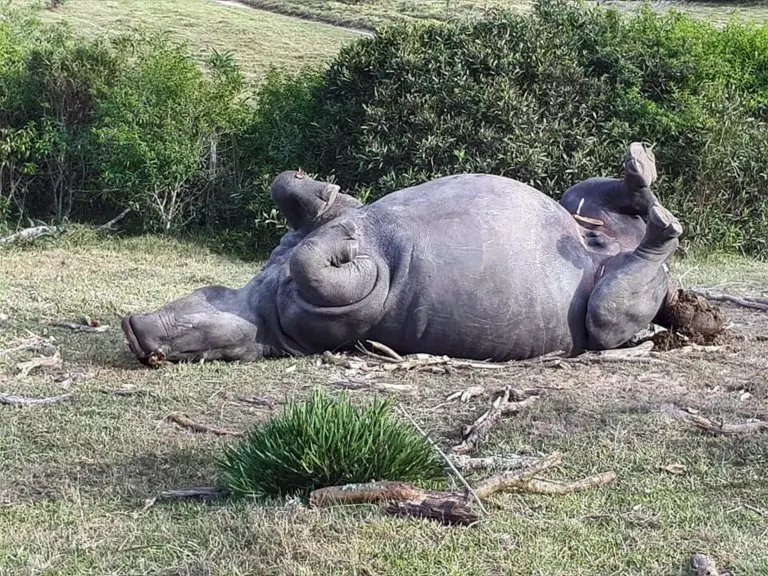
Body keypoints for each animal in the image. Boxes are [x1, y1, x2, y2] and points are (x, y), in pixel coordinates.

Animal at [123, 143, 688, 364]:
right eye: (199, 345)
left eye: (204, 290)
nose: (134, 327)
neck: (255, 306)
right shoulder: (342, 310)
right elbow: (326, 268)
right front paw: (348, 243)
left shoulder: (317, 234)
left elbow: (295, 202)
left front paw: (323, 196)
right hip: (605, 312)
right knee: (617, 297)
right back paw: (660, 219)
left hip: (578, 204)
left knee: (606, 201)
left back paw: (641, 167)